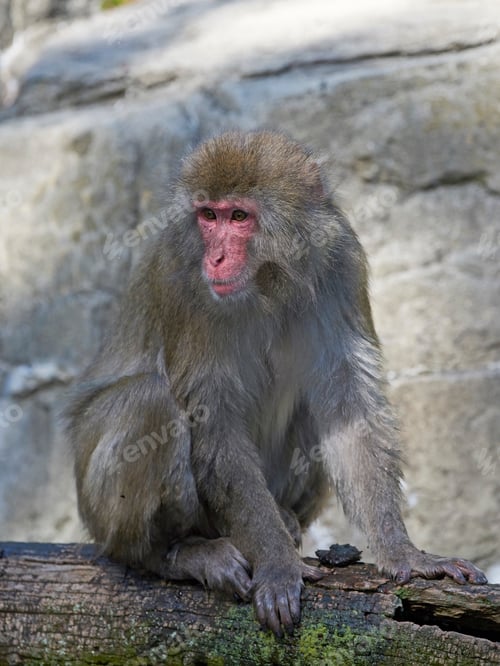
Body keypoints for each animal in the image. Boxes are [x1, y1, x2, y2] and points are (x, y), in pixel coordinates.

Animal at [64, 130, 487, 637]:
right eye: (208, 216)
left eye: (238, 217)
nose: (216, 257)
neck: (267, 277)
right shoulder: (184, 282)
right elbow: (214, 423)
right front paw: (278, 564)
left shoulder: (339, 261)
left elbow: (348, 406)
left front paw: (404, 553)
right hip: (99, 511)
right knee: (148, 403)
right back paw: (174, 553)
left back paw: (283, 518)